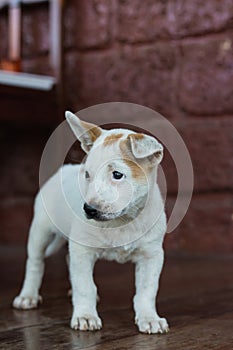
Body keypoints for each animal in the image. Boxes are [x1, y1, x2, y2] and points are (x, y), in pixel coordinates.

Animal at [12, 111, 169, 334]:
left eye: (117, 175)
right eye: (87, 175)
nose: (89, 209)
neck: (121, 221)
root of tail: (64, 169)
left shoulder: (151, 254)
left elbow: (147, 290)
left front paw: (149, 318)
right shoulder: (83, 250)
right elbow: (85, 286)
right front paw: (85, 316)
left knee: (68, 260)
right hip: (40, 232)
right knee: (35, 262)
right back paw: (28, 296)